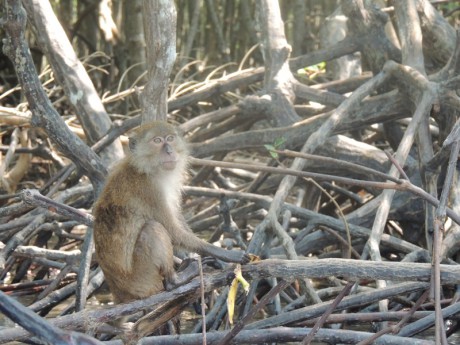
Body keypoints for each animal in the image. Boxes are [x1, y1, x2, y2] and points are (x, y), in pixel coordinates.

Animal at [92, 120, 248, 304]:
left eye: (170, 138)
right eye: (157, 141)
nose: (169, 150)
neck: (147, 169)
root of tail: (119, 293)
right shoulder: (149, 189)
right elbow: (172, 230)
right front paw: (225, 253)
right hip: (142, 280)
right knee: (152, 229)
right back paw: (176, 280)